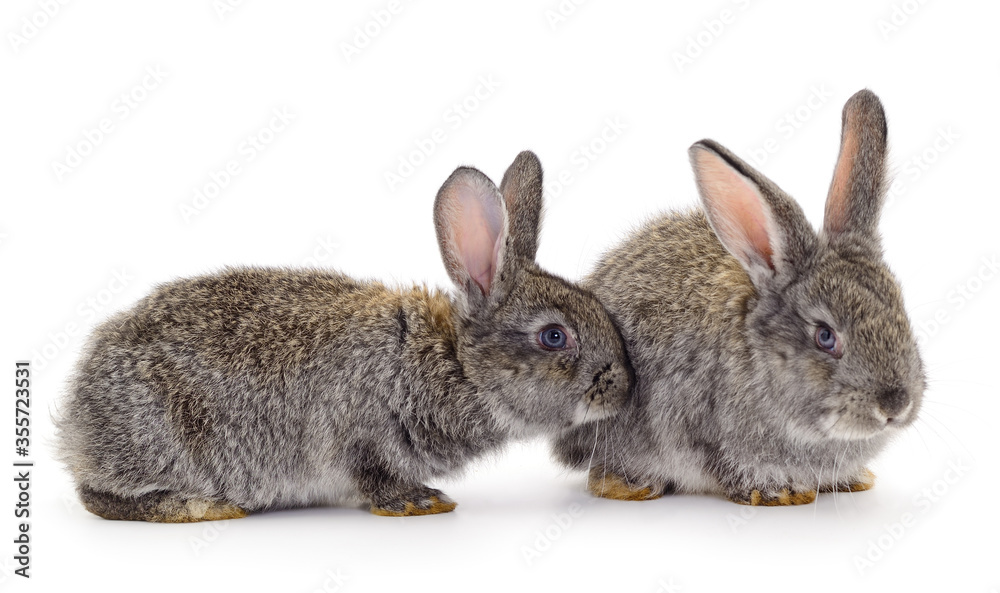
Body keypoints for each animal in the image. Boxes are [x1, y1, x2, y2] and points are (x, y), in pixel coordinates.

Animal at [56, 151, 632, 522]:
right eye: (554, 337)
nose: (625, 388)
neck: (453, 363)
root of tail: (75, 420)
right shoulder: (358, 433)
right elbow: (373, 478)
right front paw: (420, 502)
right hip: (157, 440)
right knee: (98, 496)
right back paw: (199, 506)